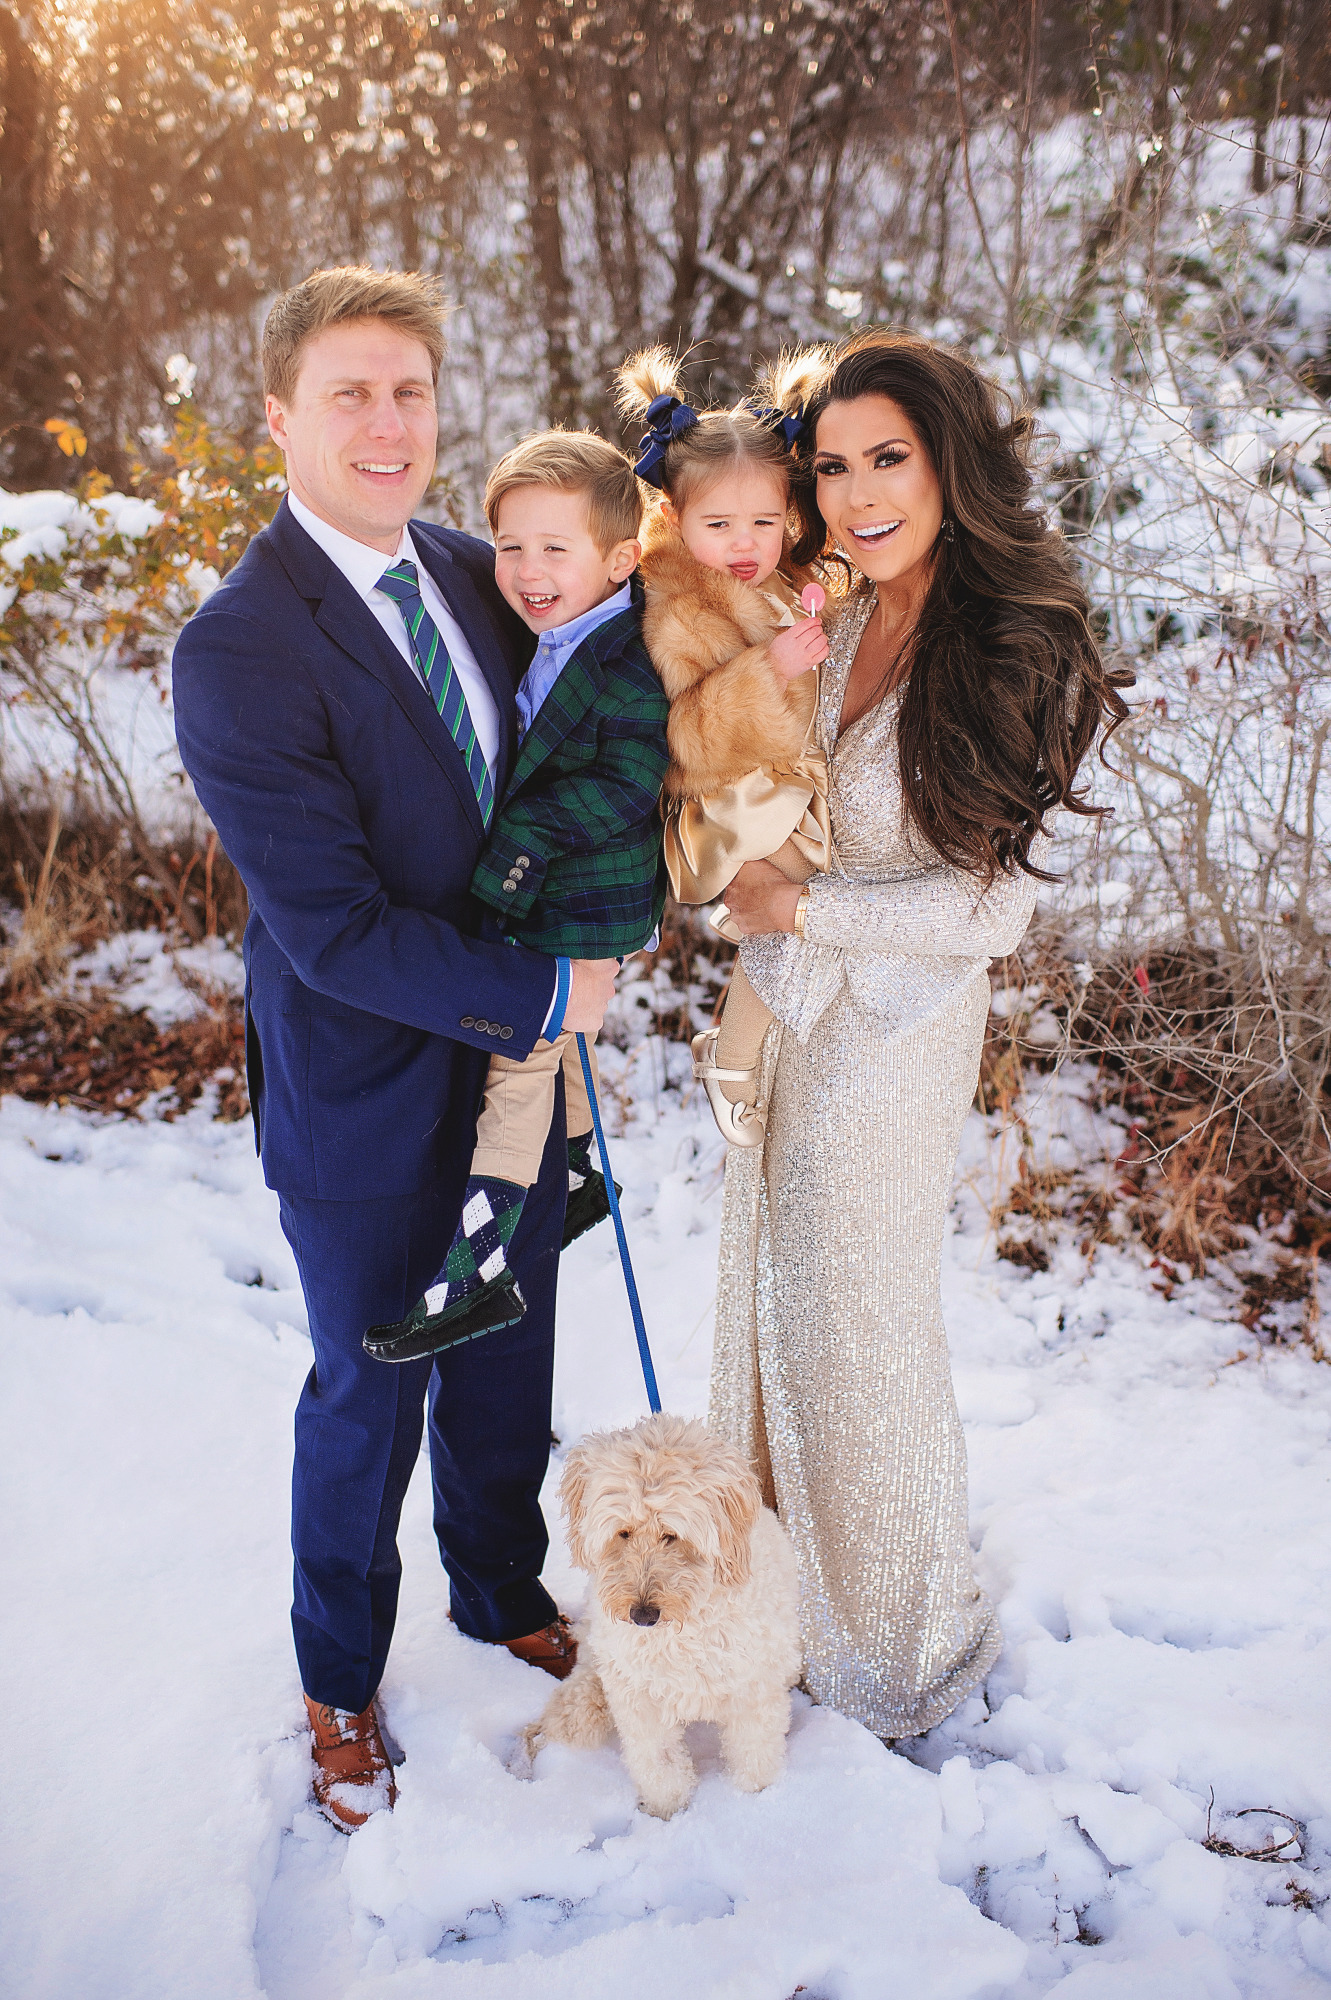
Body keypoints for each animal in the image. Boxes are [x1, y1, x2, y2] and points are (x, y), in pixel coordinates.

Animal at [527, 1416, 799, 1824]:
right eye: (623, 1532)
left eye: (671, 1535)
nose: (641, 1616)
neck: (682, 1628)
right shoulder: (640, 1700)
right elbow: (659, 1763)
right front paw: (667, 1813)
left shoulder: (753, 1689)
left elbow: (754, 1756)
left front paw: (754, 1806)